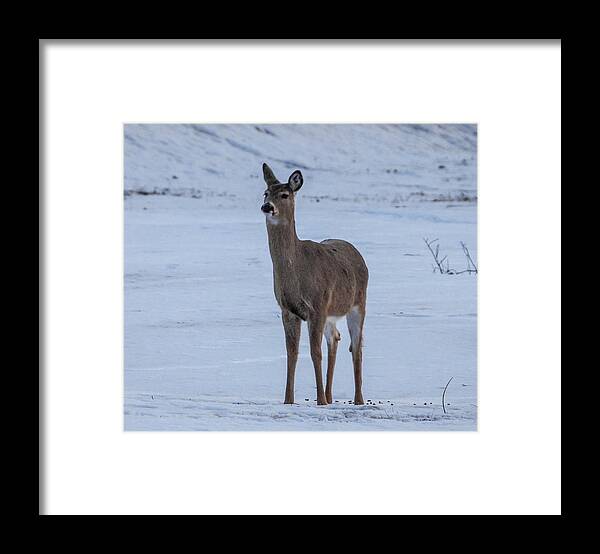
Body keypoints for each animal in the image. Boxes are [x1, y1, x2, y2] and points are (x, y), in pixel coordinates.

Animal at [260, 162, 368, 404]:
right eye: (265, 192)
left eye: (285, 194)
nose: (267, 207)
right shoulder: (287, 309)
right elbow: (292, 353)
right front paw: (288, 400)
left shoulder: (317, 304)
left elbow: (314, 352)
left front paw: (319, 401)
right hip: (331, 313)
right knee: (335, 339)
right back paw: (330, 395)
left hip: (358, 303)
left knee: (357, 347)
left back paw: (357, 399)